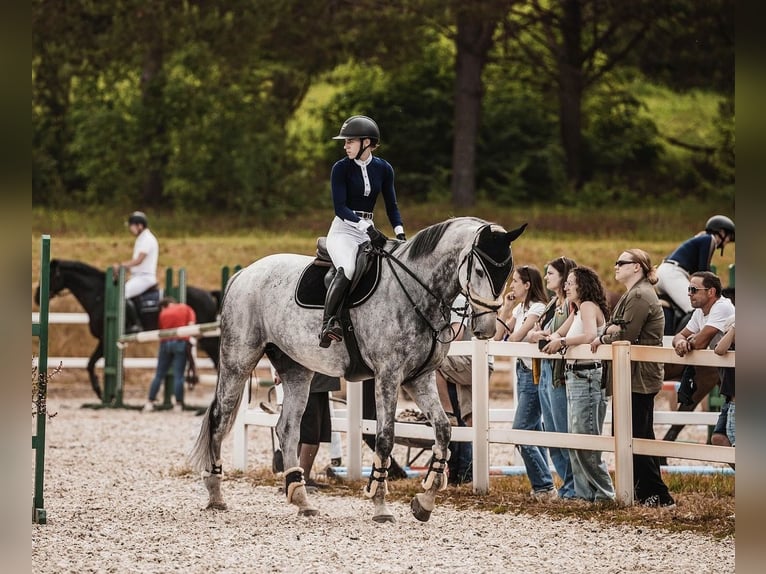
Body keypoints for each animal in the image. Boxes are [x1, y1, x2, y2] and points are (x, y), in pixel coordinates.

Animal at [191, 218, 528, 524]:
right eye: (481, 271)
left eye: (507, 272)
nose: (486, 329)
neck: (416, 289)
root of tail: (243, 273)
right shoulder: (388, 376)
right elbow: (385, 438)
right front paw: (380, 505)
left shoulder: (419, 379)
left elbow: (444, 430)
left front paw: (424, 502)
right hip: (238, 360)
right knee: (220, 419)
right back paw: (216, 496)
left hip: (297, 369)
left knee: (287, 429)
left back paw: (302, 500)